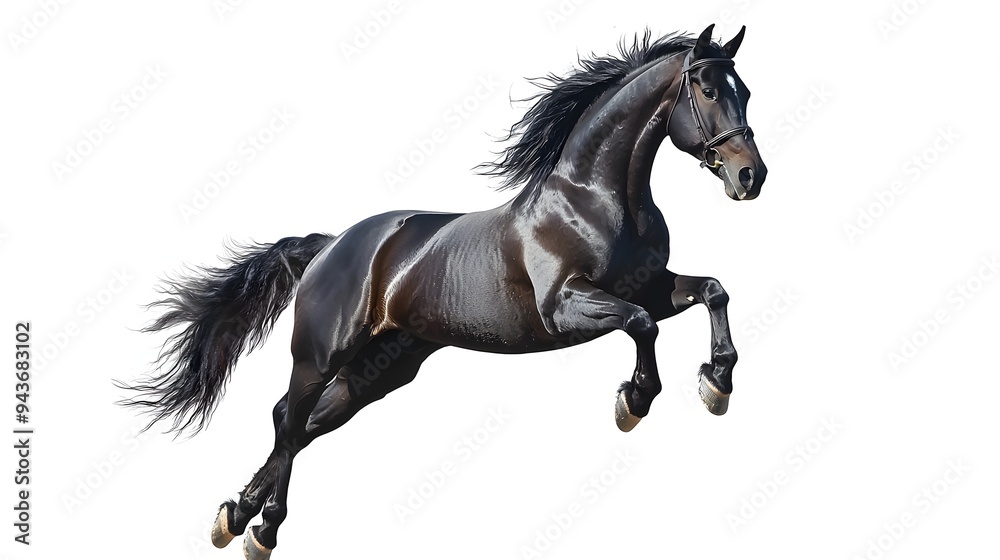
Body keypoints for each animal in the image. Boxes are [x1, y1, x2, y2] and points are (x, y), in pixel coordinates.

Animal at [119, 24, 767, 560]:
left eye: (745, 91)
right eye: (708, 90)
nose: (750, 176)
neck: (593, 201)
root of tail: (330, 246)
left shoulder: (653, 285)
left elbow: (712, 292)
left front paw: (717, 382)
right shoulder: (564, 306)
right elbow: (640, 324)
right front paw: (634, 400)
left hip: (378, 372)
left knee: (300, 427)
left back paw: (234, 518)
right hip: (320, 357)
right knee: (287, 417)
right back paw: (264, 529)